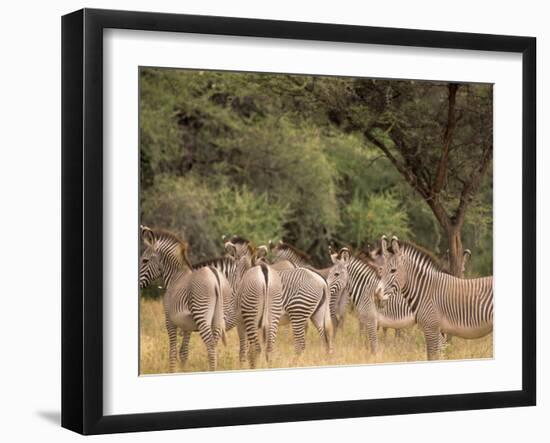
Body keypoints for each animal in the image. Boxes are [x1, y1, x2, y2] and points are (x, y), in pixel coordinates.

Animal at [141, 227, 232, 372]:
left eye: (144, 260)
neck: (175, 277)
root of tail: (215, 276)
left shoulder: (170, 321)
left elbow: (172, 352)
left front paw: (172, 371)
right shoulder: (187, 325)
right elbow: (183, 352)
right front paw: (183, 369)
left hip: (201, 314)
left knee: (211, 346)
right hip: (219, 317)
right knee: (215, 344)